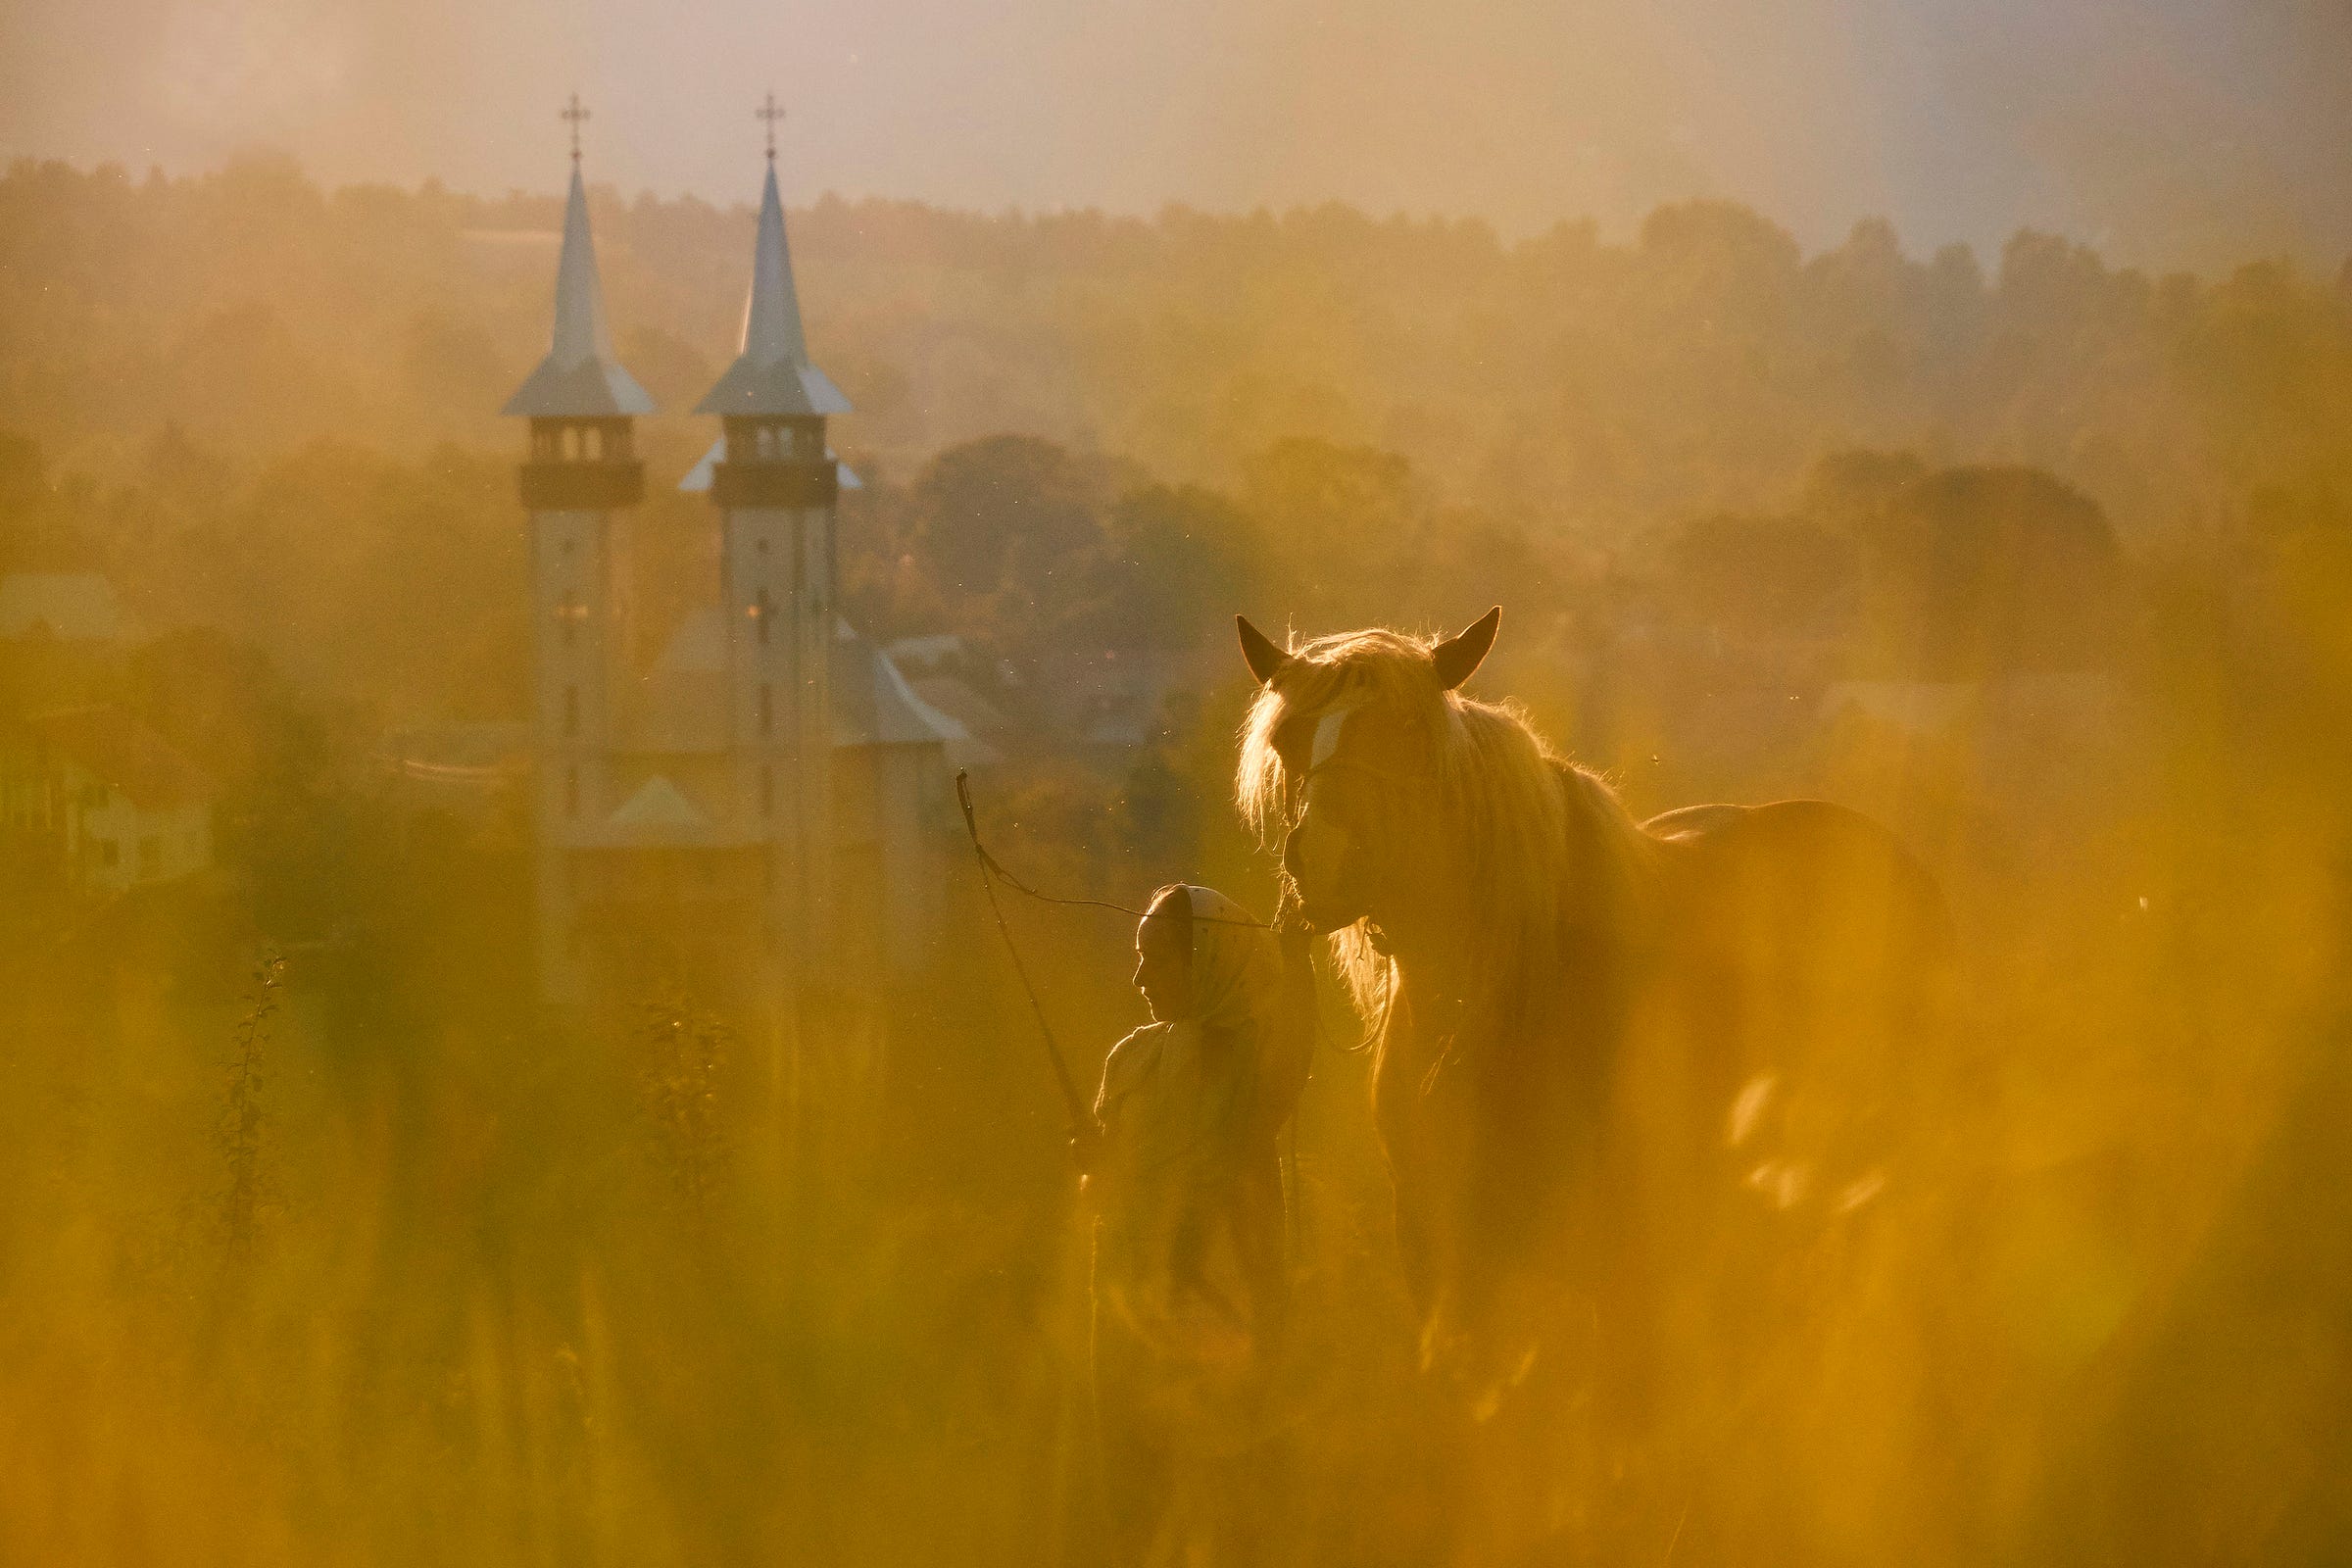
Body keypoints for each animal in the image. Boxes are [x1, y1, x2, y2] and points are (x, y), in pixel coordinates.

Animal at [1232, 608, 1953, 1441]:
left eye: (1408, 728)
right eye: (1290, 739)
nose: (1324, 860)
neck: (1503, 1005)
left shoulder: (1627, 1275)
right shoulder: (1446, 1269)